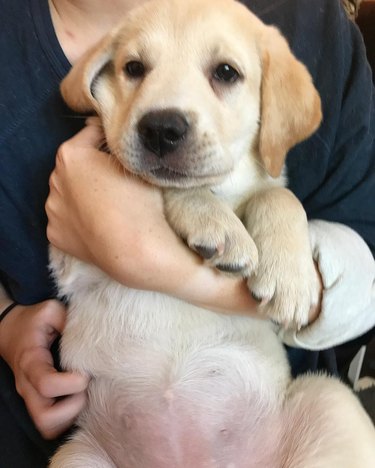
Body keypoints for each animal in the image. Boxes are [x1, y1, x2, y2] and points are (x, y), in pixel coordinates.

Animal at [49, 0, 375, 468]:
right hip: (76, 454)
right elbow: (168, 184)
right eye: (133, 68)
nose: (160, 128)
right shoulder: (69, 260)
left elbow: (278, 194)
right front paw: (216, 223)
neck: (226, 187)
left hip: (329, 400)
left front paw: (290, 279)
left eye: (225, 72)